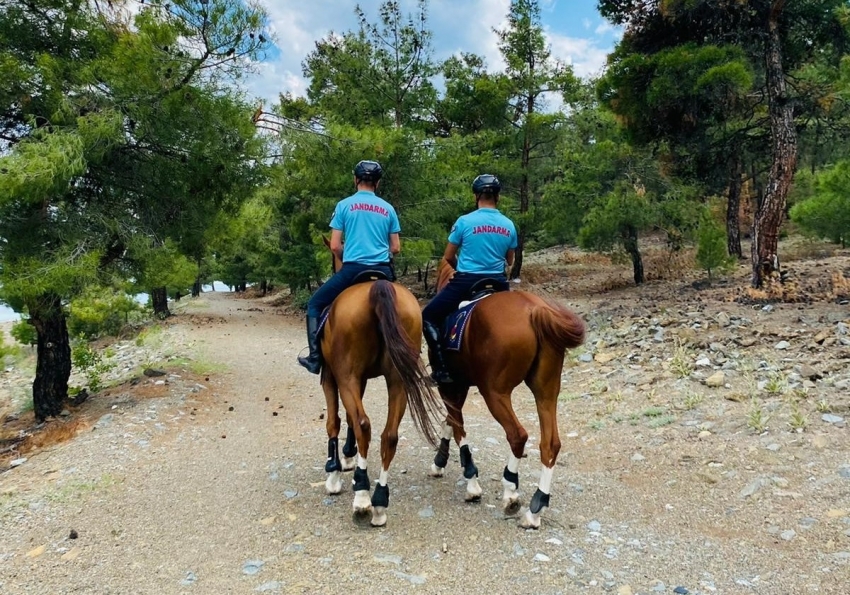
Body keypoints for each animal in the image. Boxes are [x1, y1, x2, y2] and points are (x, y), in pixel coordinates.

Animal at [314, 237, 440, 528]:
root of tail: (377, 288)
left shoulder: (332, 376)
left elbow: (335, 421)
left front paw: (334, 473)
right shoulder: (357, 380)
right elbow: (349, 418)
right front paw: (349, 456)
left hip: (348, 377)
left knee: (364, 424)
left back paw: (362, 496)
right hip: (397, 380)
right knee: (389, 435)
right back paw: (380, 501)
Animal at [424, 260, 584, 532]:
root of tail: (534, 310)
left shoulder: (450, 386)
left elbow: (457, 427)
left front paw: (471, 482)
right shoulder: (460, 386)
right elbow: (450, 422)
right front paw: (439, 462)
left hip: (495, 393)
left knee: (517, 435)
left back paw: (511, 491)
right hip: (546, 391)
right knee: (550, 444)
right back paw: (536, 508)